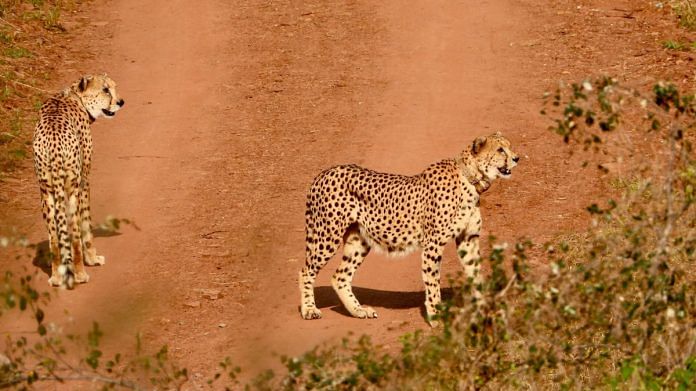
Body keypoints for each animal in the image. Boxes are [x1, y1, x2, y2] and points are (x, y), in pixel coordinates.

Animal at [32, 74, 124, 288]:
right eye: (105, 90)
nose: (120, 102)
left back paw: (56, 277)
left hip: (46, 192)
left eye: (113, 87)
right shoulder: (84, 181)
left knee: (54, 238)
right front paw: (93, 258)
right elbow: (86, 224)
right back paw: (81, 274)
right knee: (73, 235)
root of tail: (53, 142)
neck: (76, 97)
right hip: (72, 190)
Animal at [296, 132, 520, 324]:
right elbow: (432, 282)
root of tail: (325, 172)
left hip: (359, 240)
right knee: (306, 271)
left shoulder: (468, 239)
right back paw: (309, 309)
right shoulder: (433, 244)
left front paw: (486, 309)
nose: (516, 158)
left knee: (340, 276)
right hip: (327, 235)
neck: (470, 179)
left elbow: (476, 275)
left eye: (509, 146)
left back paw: (359, 311)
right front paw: (436, 316)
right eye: (500, 150)